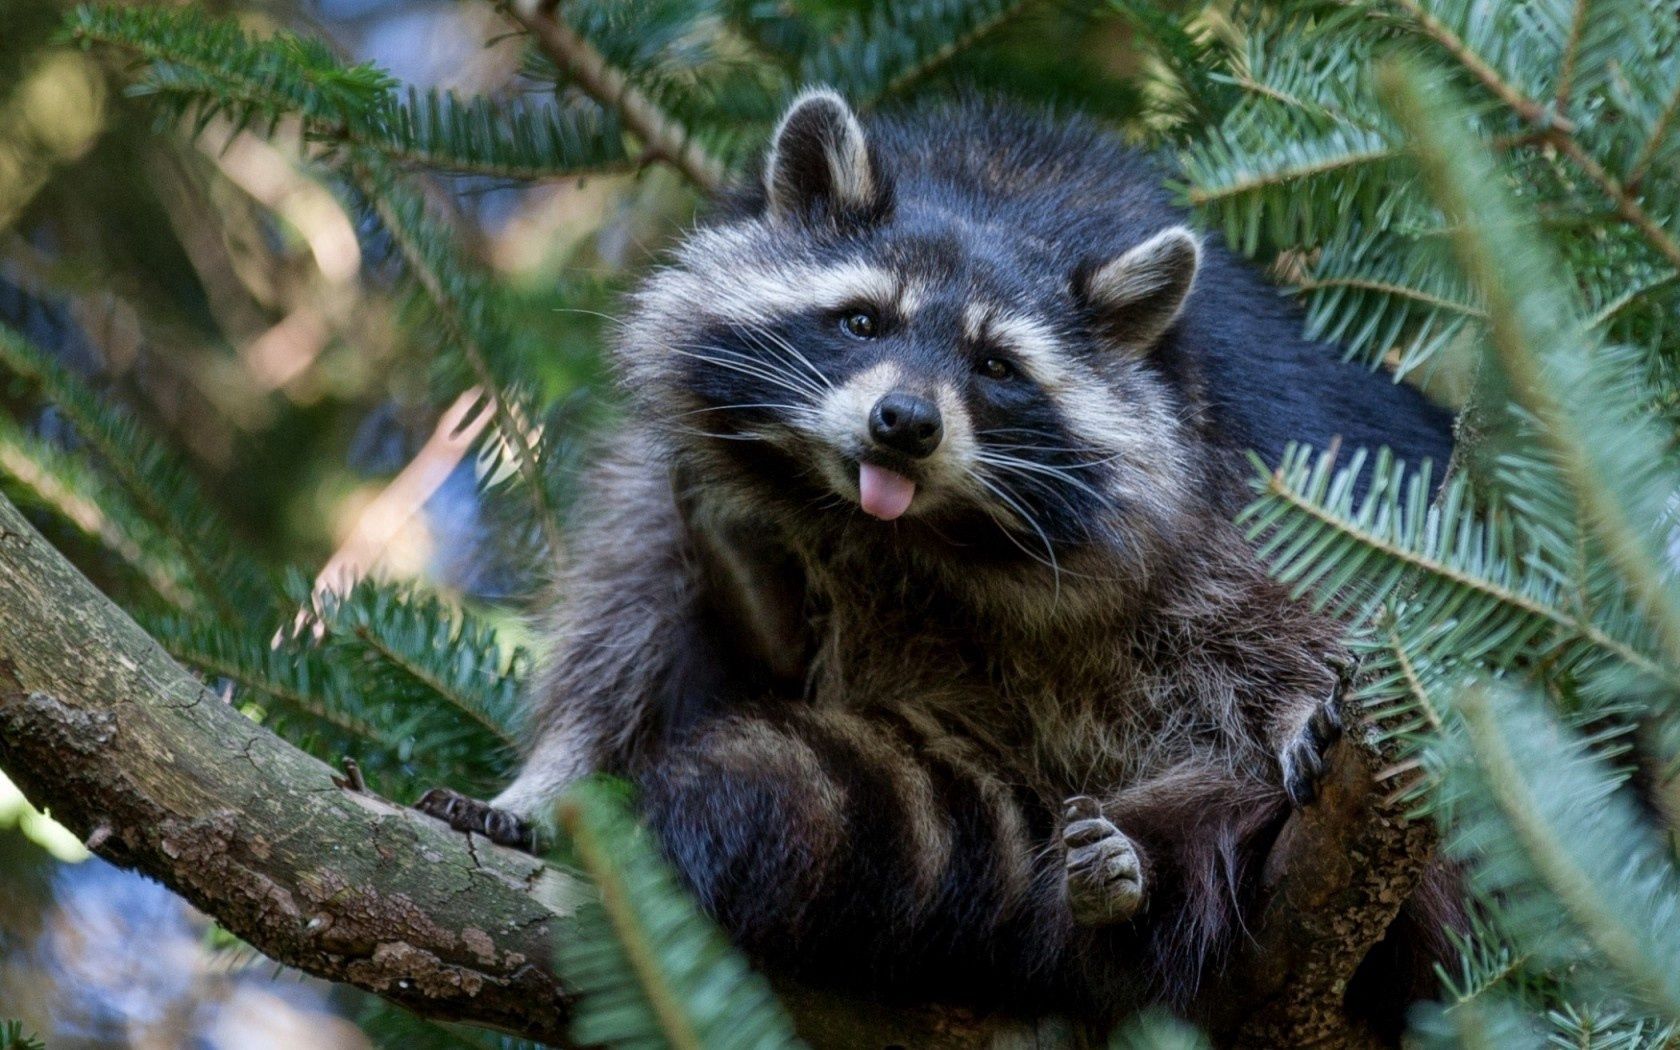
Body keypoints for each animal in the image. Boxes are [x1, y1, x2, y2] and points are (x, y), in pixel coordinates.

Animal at [420, 89, 1458, 1021]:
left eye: (996, 366)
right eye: (863, 320)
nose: (906, 423)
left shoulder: (1231, 476)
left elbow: (1280, 614)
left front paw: (1291, 707)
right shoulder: (680, 462)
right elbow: (625, 618)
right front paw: (552, 778)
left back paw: (1135, 875)